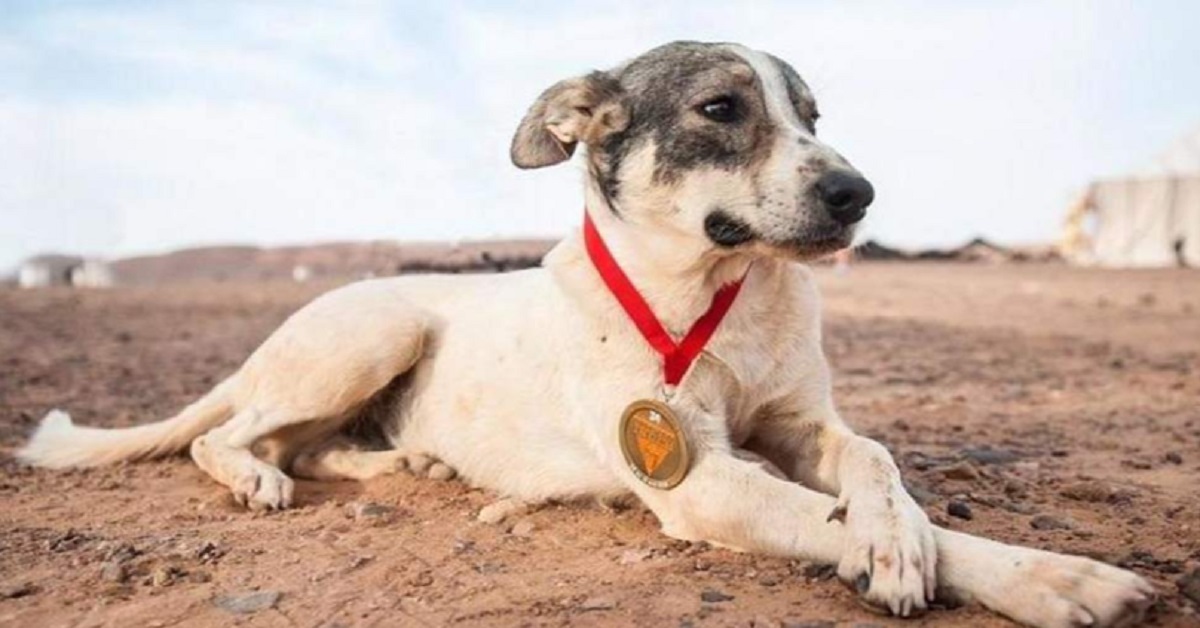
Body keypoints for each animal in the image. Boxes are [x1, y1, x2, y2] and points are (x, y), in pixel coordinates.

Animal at [18, 41, 1156, 624]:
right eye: (721, 107)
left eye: (814, 115)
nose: (857, 193)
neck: (711, 292)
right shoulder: (697, 477)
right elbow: (834, 517)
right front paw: (1053, 576)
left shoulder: (803, 423)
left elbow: (873, 459)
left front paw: (897, 531)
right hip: (375, 330)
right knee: (229, 436)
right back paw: (262, 475)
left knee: (312, 443)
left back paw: (405, 465)